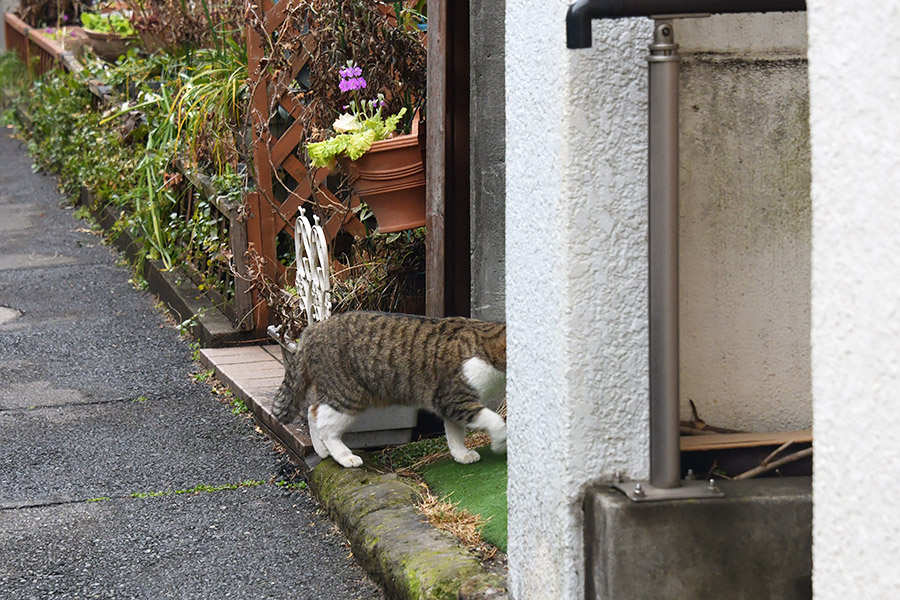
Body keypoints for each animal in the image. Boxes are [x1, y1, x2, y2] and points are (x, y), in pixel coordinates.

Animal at [272, 310, 506, 468]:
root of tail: (312, 330)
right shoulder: (454, 399)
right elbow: (495, 420)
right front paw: (500, 443)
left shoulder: (453, 403)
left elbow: (455, 433)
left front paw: (461, 454)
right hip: (348, 394)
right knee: (326, 426)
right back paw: (344, 456)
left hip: (333, 391)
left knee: (313, 411)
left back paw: (322, 450)